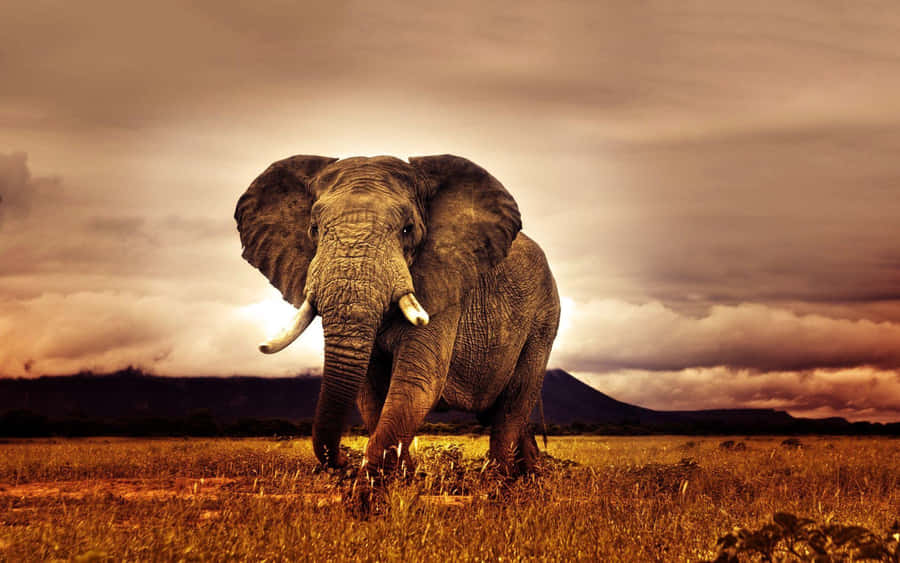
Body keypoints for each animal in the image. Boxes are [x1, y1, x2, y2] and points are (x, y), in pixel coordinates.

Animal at [235, 154, 560, 484]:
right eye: (313, 228)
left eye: (407, 230)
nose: (343, 461)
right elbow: (370, 392)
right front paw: (402, 479)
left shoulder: (444, 285)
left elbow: (416, 382)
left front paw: (371, 486)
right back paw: (530, 476)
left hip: (544, 320)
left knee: (513, 404)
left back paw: (500, 482)